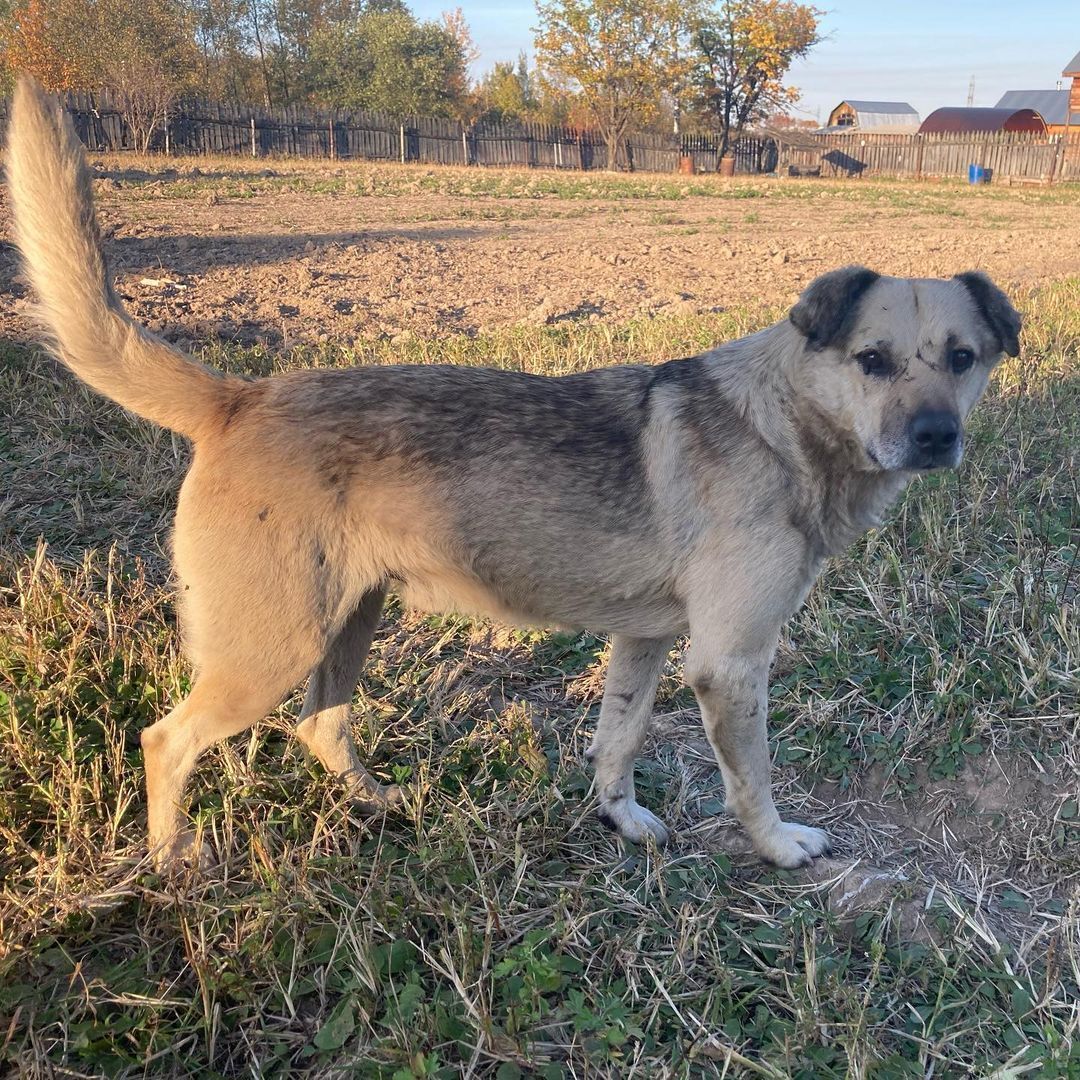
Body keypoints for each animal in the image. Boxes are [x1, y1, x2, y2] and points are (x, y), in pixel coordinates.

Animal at [6, 79, 1019, 872]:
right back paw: (173, 860)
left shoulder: (646, 641)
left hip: (348, 619)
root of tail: (239, 398)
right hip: (269, 647)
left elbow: (615, 743)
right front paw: (778, 848)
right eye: (873, 360)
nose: (936, 437)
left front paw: (623, 821)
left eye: (963, 359)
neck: (782, 421)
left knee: (320, 725)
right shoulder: (730, 665)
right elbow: (752, 782)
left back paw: (378, 805)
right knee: (165, 739)